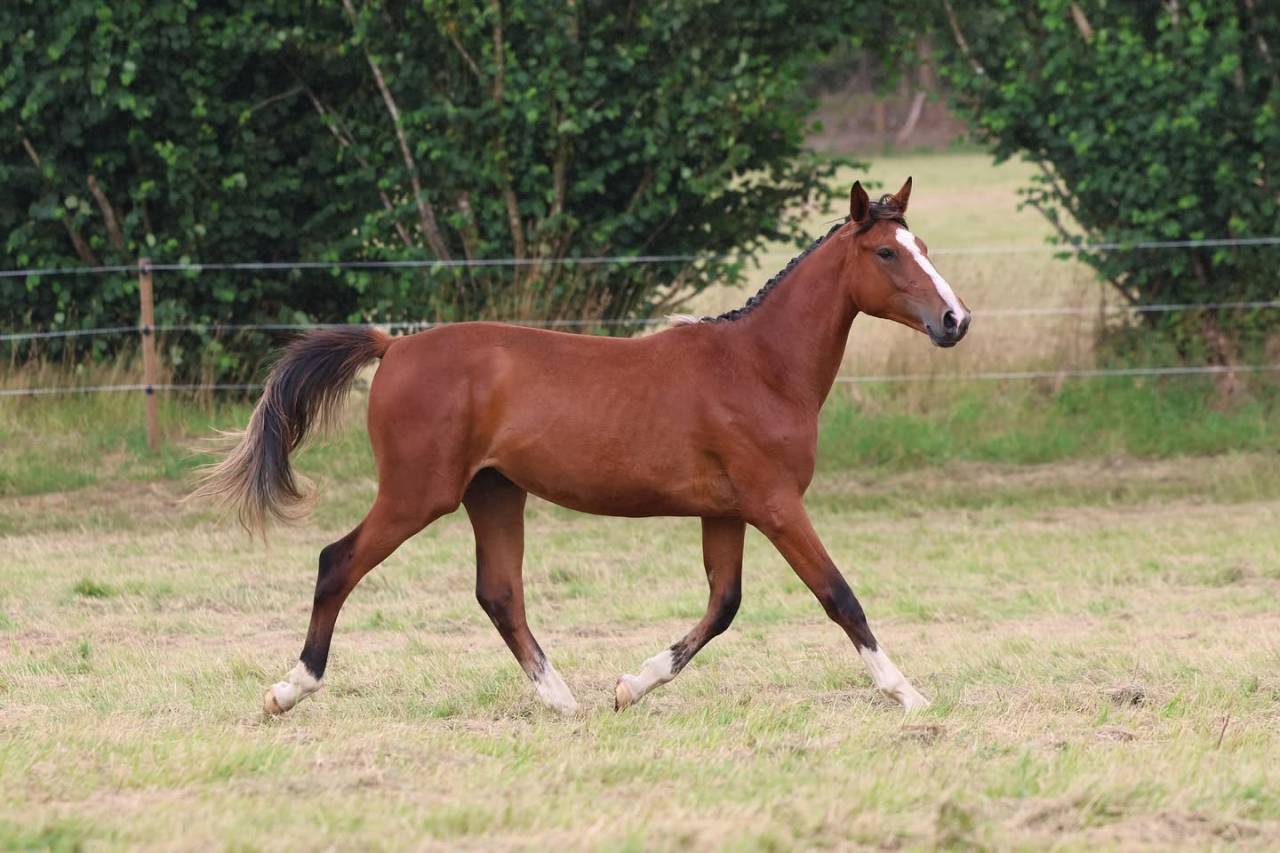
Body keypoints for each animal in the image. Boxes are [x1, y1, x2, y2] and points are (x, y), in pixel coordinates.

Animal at [195, 178, 970, 717]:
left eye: (924, 250)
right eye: (885, 252)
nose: (955, 320)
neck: (759, 366)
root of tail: (394, 346)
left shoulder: (727, 511)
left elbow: (723, 605)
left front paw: (628, 686)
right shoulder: (775, 504)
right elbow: (839, 596)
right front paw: (908, 693)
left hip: (494, 492)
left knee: (499, 593)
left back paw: (562, 699)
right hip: (420, 493)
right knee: (338, 562)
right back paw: (288, 690)